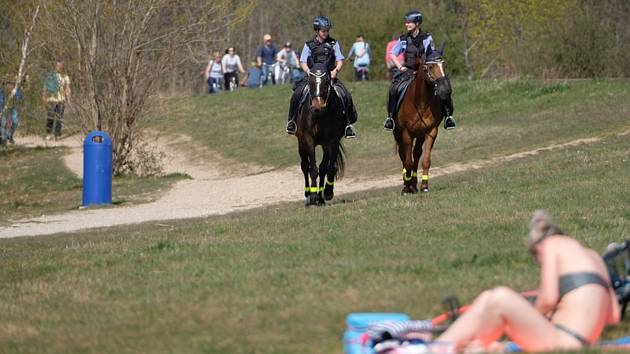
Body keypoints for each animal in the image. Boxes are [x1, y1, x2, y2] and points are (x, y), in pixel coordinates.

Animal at [298, 63, 348, 206]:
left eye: (326, 82)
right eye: (310, 82)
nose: (316, 107)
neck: (320, 116)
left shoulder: (332, 141)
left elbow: (329, 168)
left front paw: (327, 193)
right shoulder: (308, 140)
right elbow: (313, 169)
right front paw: (313, 195)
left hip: (325, 146)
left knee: (323, 168)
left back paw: (320, 198)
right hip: (301, 142)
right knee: (305, 166)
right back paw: (308, 196)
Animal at [398, 44, 452, 195]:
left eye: (443, 64)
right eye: (431, 66)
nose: (446, 89)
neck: (421, 103)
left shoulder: (431, 131)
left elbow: (426, 159)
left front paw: (424, 186)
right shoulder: (406, 133)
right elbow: (407, 161)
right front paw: (406, 188)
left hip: (420, 134)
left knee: (416, 154)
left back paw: (414, 184)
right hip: (398, 133)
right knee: (404, 156)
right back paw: (408, 184)